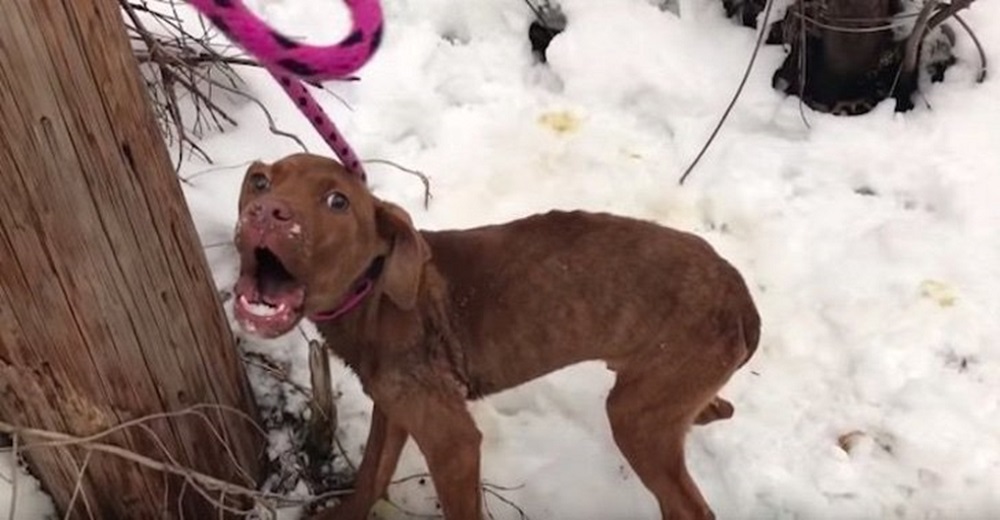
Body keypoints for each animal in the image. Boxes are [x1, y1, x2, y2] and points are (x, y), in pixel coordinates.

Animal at [234, 154, 760, 520]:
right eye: (260, 181)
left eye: (337, 202)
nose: (265, 211)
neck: (375, 295)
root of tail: (741, 297)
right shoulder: (395, 408)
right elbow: (369, 475)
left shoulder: (454, 442)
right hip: (654, 393)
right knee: (713, 412)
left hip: (634, 417)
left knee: (691, 507)